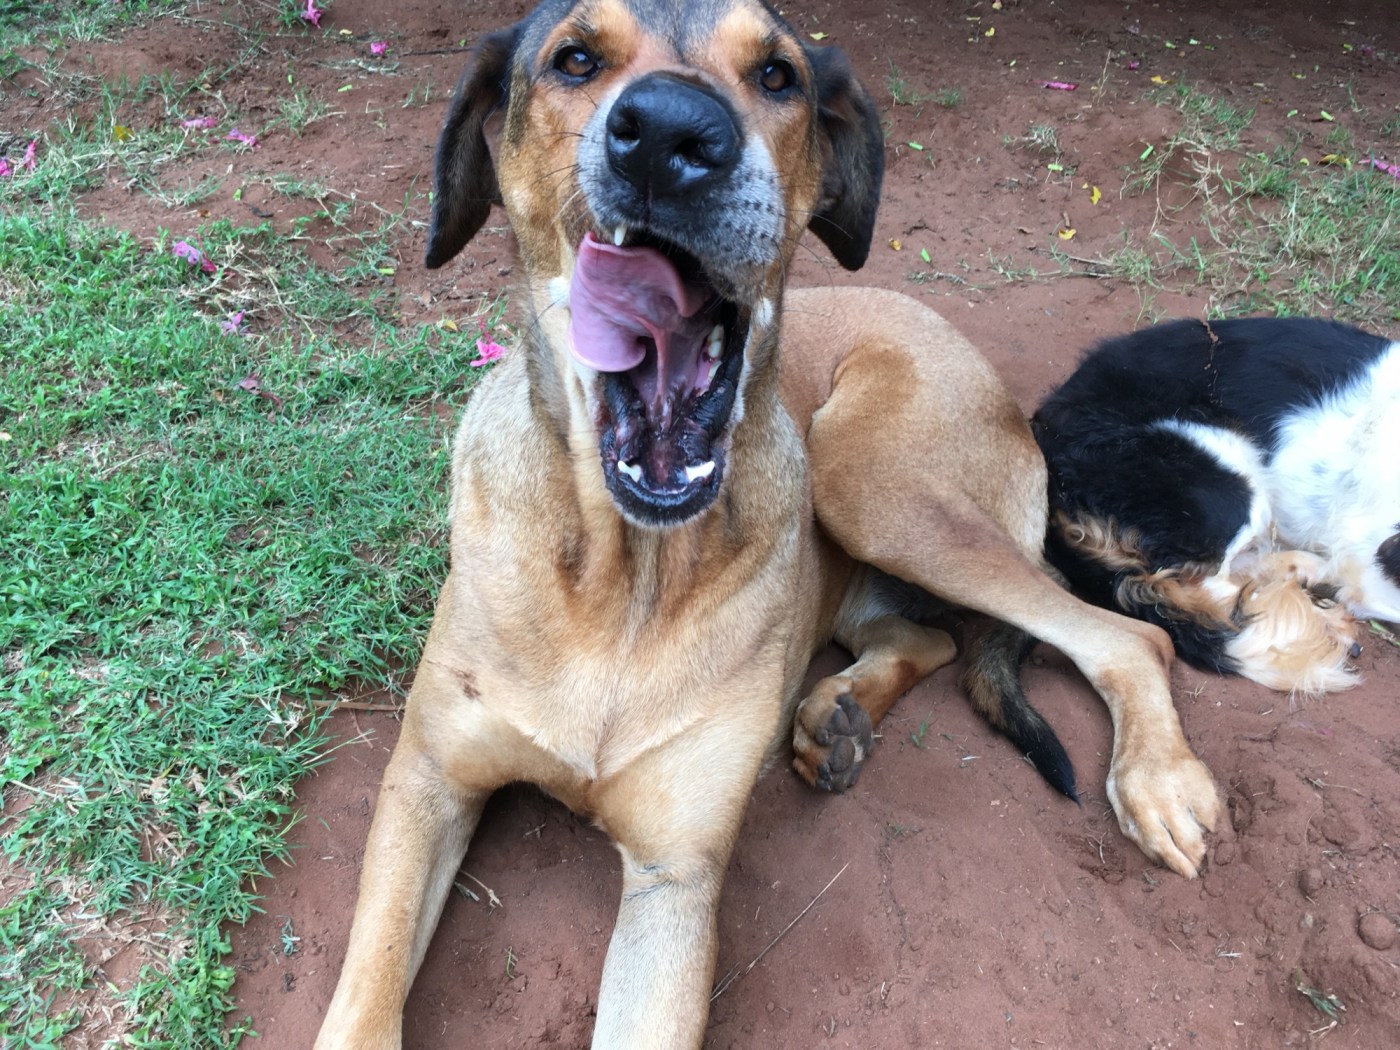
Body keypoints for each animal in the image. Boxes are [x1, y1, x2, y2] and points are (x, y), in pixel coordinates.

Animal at [314, 2, 1219, 1046]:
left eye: (778, 75)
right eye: (573, 59)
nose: (669, 137)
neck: (625, 571)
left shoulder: (674, 880)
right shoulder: (426, 783)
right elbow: (367, 996)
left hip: (872, 480)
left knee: (1127, 637)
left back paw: (1156, 780)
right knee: (929, 638)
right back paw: (837, 717)